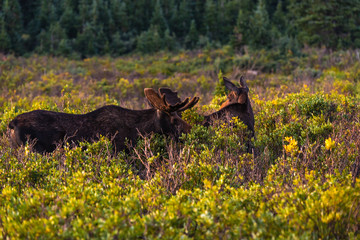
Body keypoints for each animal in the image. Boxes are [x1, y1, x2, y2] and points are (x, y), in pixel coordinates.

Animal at [7, 87, 200, 153]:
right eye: (174, 120)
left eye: (181, 116)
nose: (193, 131)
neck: (141, 129)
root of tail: (12, 123)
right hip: (34, 150)